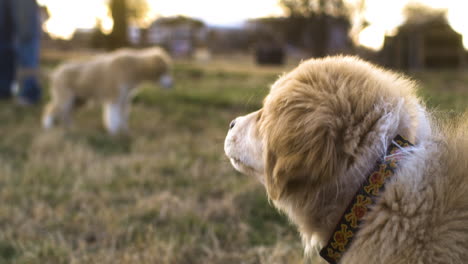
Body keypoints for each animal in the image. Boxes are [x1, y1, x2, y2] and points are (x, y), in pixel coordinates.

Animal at [42, 46, 172, 134]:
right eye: (165, 71)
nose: (171, 84)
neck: (131, 66)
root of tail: (55, 72)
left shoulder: (124, 100)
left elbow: (123, 116)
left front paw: (125, 131)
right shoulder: (114, 98)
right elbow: (114, 118)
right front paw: (114, 133)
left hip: (78, 100)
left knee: (67, 114)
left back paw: (70, 128)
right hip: (65, 98)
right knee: (50, 109)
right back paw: (47, 126)